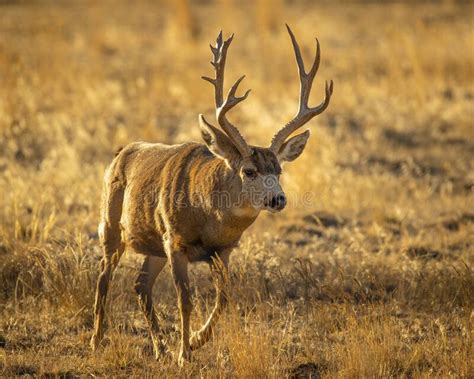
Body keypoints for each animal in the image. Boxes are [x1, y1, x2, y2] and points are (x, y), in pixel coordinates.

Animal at [90, 25, 334, 366]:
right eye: (249, 171)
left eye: (279, 171)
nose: (278, 199)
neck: (208, 217)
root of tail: (121, 152)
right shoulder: (175, 241)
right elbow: (185, 299)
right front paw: (184, 354)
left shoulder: (224, 249)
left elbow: (224, 298)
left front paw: (195, 340)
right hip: (111, 224)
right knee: (104, 277)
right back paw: (97, 341)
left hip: (153, 244)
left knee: (140, 285)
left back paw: (160, 347)